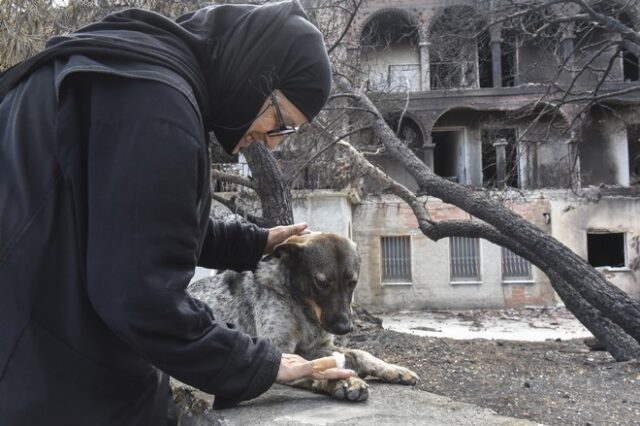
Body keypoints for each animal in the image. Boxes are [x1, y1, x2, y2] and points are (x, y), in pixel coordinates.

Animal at [189, 231, 420, 402]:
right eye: (321, 282)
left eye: (352, 282)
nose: (345, 328)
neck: (302, 307)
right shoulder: (278, 347)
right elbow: (308, 367)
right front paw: (341, 382)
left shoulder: (319, 345)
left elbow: (360, 353)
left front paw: (392, 368)